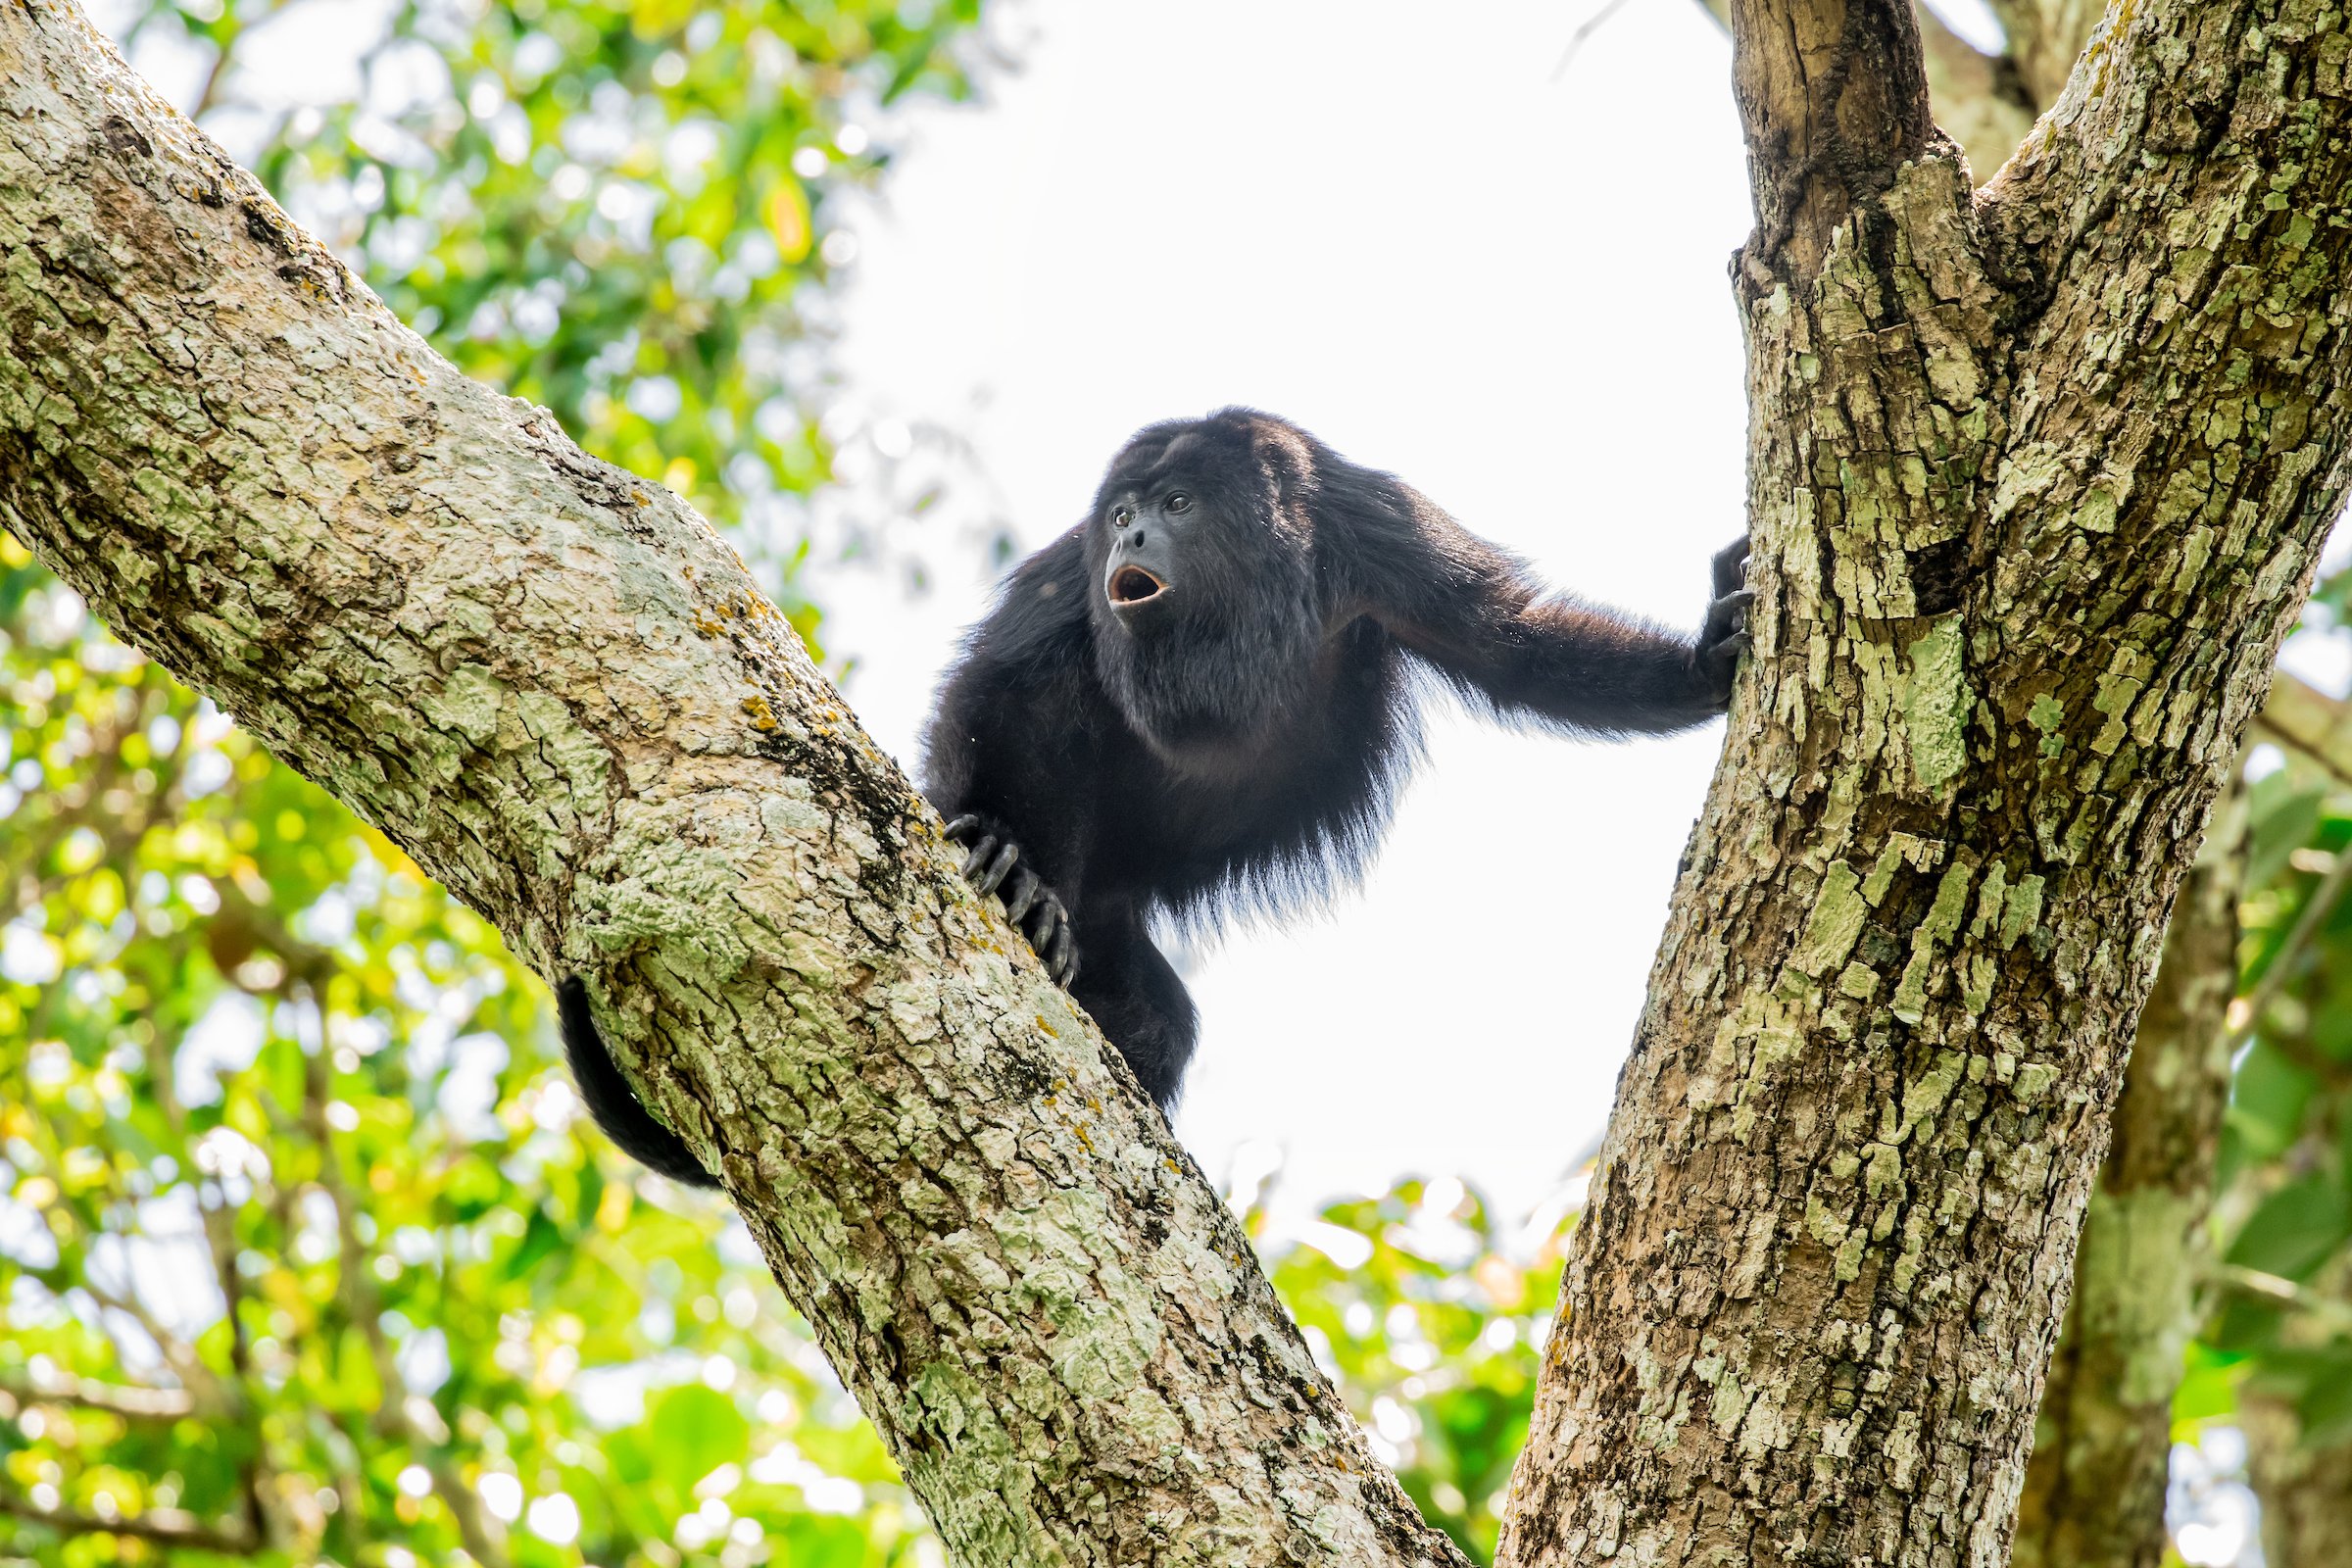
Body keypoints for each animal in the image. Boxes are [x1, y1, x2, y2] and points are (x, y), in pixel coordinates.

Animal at [564, 409, 1749, 1189]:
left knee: (1164, 1022)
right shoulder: (1067, 567)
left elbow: (1512, 638)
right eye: (1126, 511)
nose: (1134, 537)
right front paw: (1000, 845)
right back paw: (1020, 877)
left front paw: (1705, 661)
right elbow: (1004, 681)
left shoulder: (1383, 530)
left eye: (1178, 505)